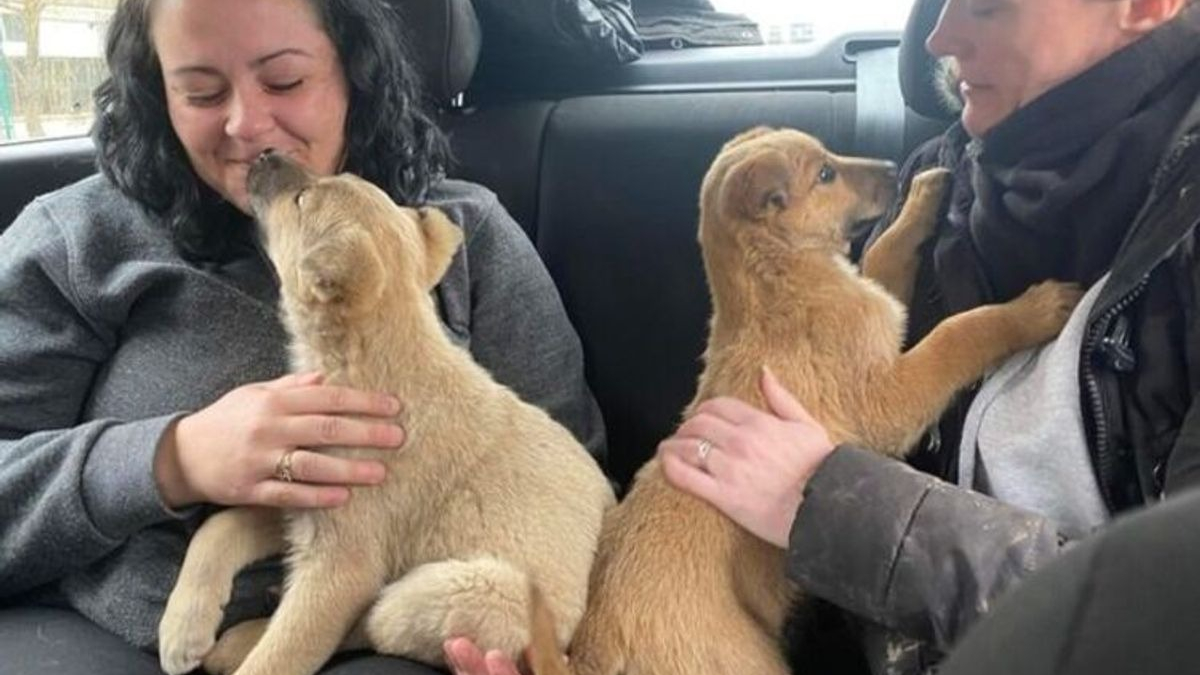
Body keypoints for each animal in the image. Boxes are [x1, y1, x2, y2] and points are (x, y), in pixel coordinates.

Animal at [156, 152, 614, 672]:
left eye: (301, 199)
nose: (268, 153)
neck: (365, 363)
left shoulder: (344, 564)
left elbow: (281, 655)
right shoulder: (304, 498)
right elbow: (218, 526)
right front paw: (182, 625)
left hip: (462, 591)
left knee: (368, 623)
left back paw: (242, 638)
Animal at [525, 127, 1080, 672]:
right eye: (826, 175)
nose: (891, 167)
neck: (776, 283)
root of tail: (590, 655)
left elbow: (884, 253)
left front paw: (926, 194)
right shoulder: (885, 401)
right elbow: (957, 333)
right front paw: (1035, 309)